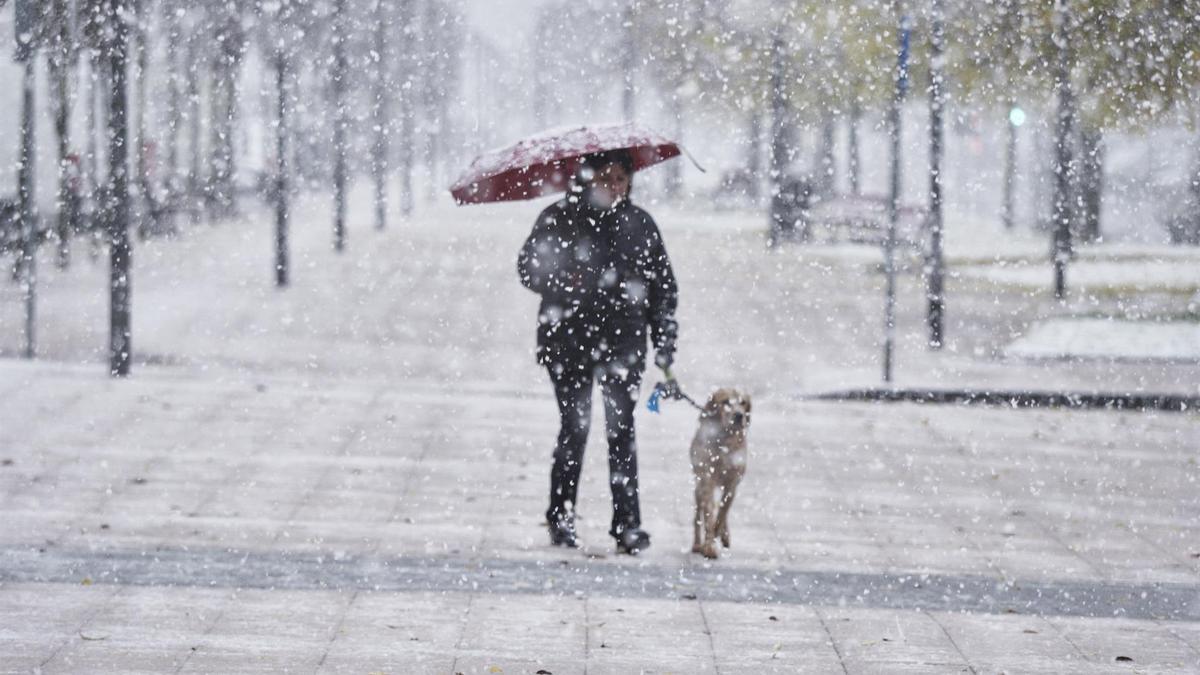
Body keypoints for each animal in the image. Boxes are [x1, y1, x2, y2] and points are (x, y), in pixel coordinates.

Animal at [696, 386, 748, 559]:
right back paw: (697, 544)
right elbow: (709, 514)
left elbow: (723, 510)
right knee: (698, 517)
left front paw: (719, 531)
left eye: (743, 402)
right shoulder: (707, 480)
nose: (739, 415)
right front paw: (709, 547)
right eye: (726, 402)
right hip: (698, 487)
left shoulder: (733, 483)